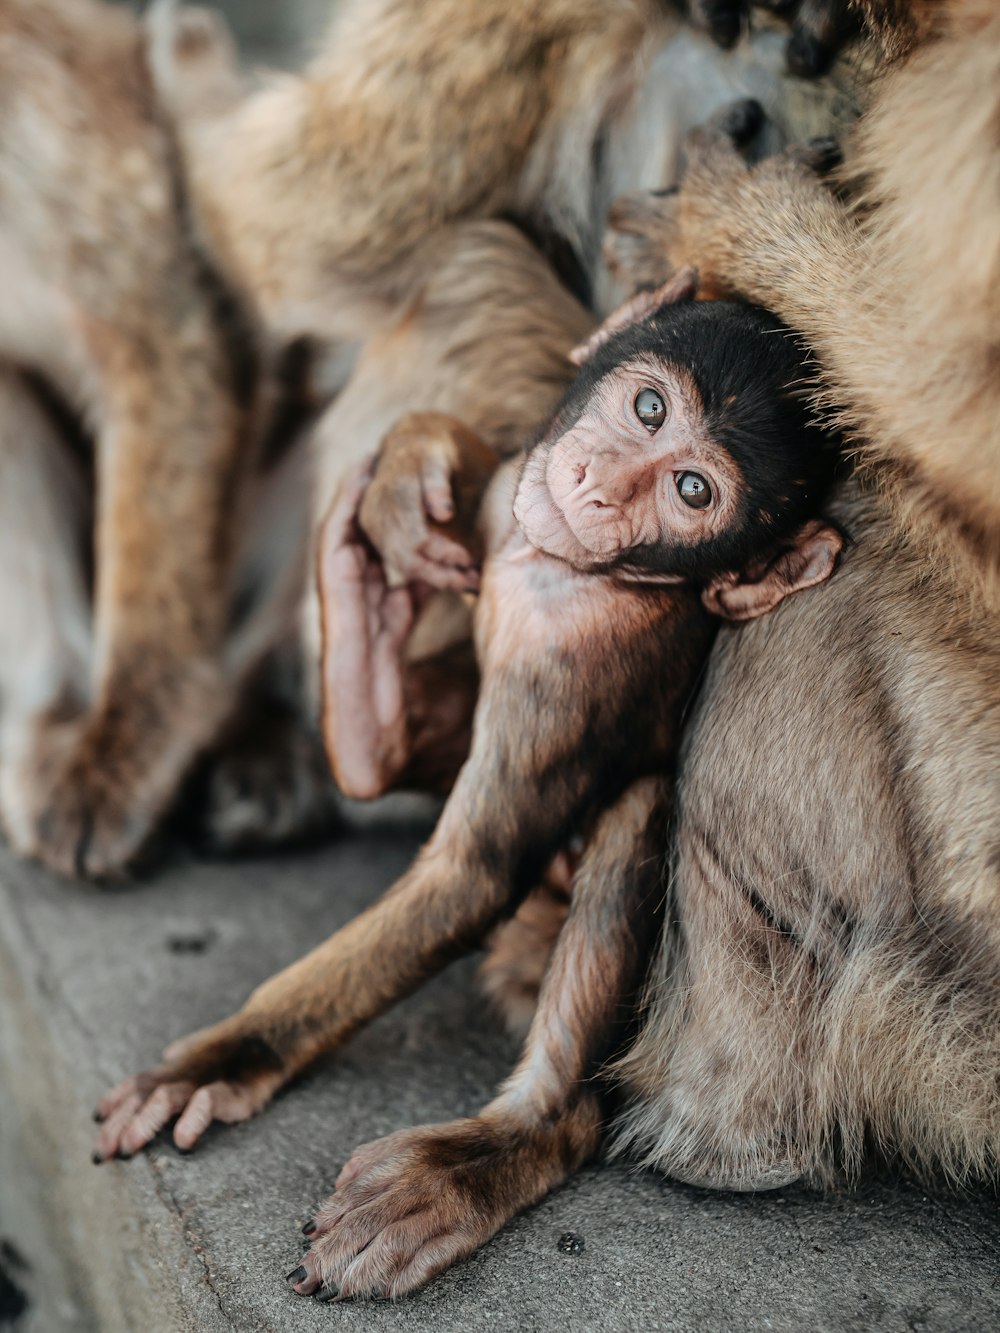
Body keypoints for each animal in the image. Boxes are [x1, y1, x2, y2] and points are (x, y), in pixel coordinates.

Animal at [94, 270, 848, 1301]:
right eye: (650, 409)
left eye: (693, 490)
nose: (599, 484)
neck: (553, 565)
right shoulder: (506, 510)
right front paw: (412, 476)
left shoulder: (568, 652)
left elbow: (471, 871)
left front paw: (229, 1052)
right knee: (384, 755)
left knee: (634, 808)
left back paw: (497, 1148)